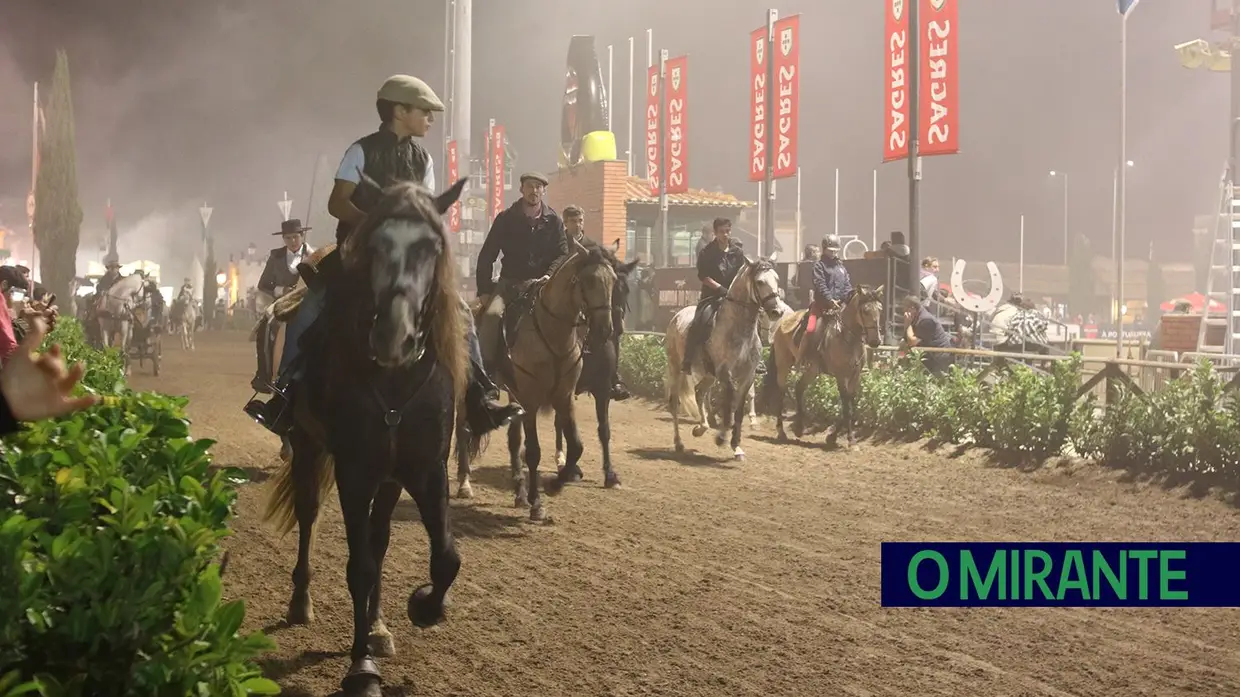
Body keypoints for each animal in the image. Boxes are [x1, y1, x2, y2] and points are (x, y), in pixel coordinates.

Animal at [264, 177, 471, 694]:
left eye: (431, 247)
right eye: (377, 244)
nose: (393, 337)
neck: (394, 380)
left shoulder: (425, 469)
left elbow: (445, 557)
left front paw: (424, 606)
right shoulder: (355, 472)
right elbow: (359, 567)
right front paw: (361, 667)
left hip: (389, 477)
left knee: (379, 540)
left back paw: (378, 627)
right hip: (308, 445)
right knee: (309, 515)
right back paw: (302, 602)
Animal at [486, 238, 617, 515]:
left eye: (613, 279)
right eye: (589, 281)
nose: (605, 329)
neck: (551, 335)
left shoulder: (564, 397)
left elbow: (576, 445)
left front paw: (556, 484)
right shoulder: (530, 400)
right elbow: (533, 451)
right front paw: (537, 503)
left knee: (514, 441)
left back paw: (520, 492)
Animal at [553, 241, 639, 486]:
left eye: (624, 289)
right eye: (590, 285)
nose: (614, 328)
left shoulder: (602, 388)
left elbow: (604, 430)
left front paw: (610, 474)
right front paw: (571, 468)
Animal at [664, 251, 778, 458]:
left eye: (777, 279)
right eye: (759, 282)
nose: (777, 311)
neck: (739, 329)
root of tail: (677, 315)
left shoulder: (748, 375)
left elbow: (739, 407)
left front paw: (736, 445)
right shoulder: (725, 372)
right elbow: (730, 399)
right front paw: (722, 437)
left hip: (709, 373)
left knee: (699, 392)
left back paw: (701, 428)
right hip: (676, 367)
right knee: (675, 403)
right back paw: (679, 443)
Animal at [758, 285, 887, 446]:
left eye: (880, 309)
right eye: (865, 310)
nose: (875, 341)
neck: (847, 337)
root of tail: (781, 324)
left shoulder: (855, 375)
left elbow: (850, 404)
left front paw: (832, 437)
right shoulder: (841, 375)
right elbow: (846, 406)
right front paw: (850, 439)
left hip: (813, 369)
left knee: (799, 388)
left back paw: (799, 428)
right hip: (783, 365)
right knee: (781, 393)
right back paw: (781, 432)